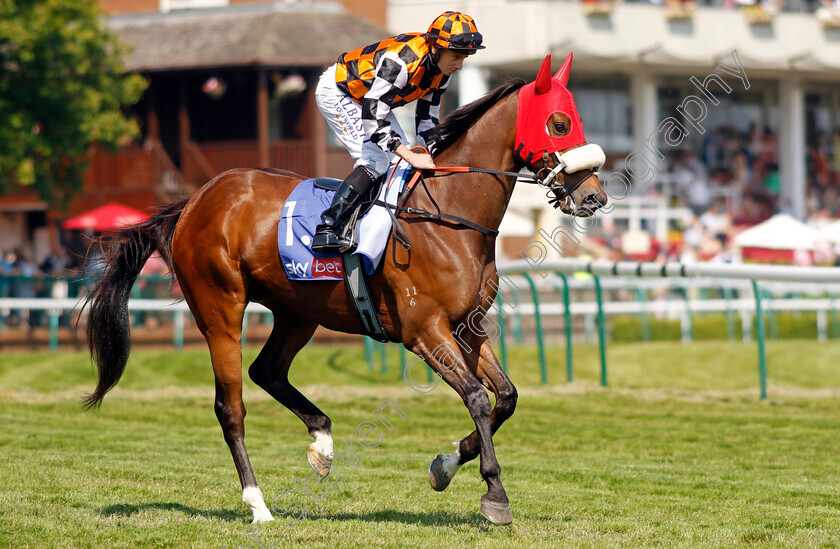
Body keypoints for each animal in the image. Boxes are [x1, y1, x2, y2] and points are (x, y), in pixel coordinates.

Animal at [85, 53, 608, 524]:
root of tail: (195, 200)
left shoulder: (468, 328)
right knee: (230, 407)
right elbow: (479, 399)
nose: (593, 197)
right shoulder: (425, 332)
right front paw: (494, 494)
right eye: (559, 124)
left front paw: (445, 465)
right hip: (220, 309)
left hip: (297, 313)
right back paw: (258, 505)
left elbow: (506, 397)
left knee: (267, 371)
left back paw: (322, 443)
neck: (449, 216)